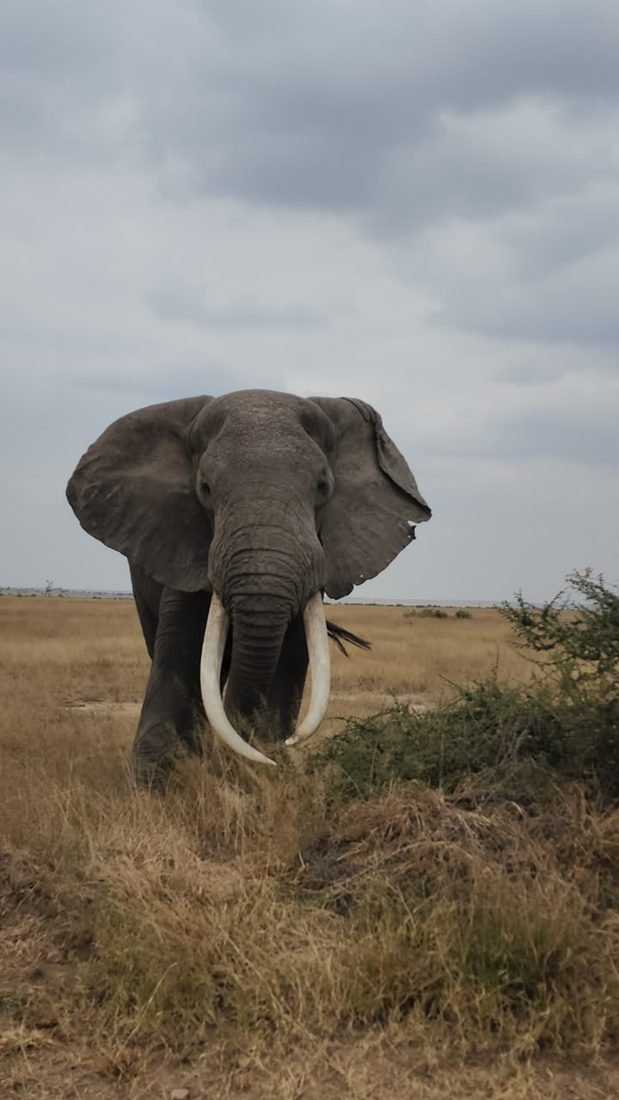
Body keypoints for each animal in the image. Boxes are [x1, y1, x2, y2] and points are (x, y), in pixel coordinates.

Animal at [66, 389, 431, 782]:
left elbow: (292, 655)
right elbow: (180, 651)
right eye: (205, 488)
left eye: (323, 487)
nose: (238, 756)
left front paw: (269, 764)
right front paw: (155, 784)